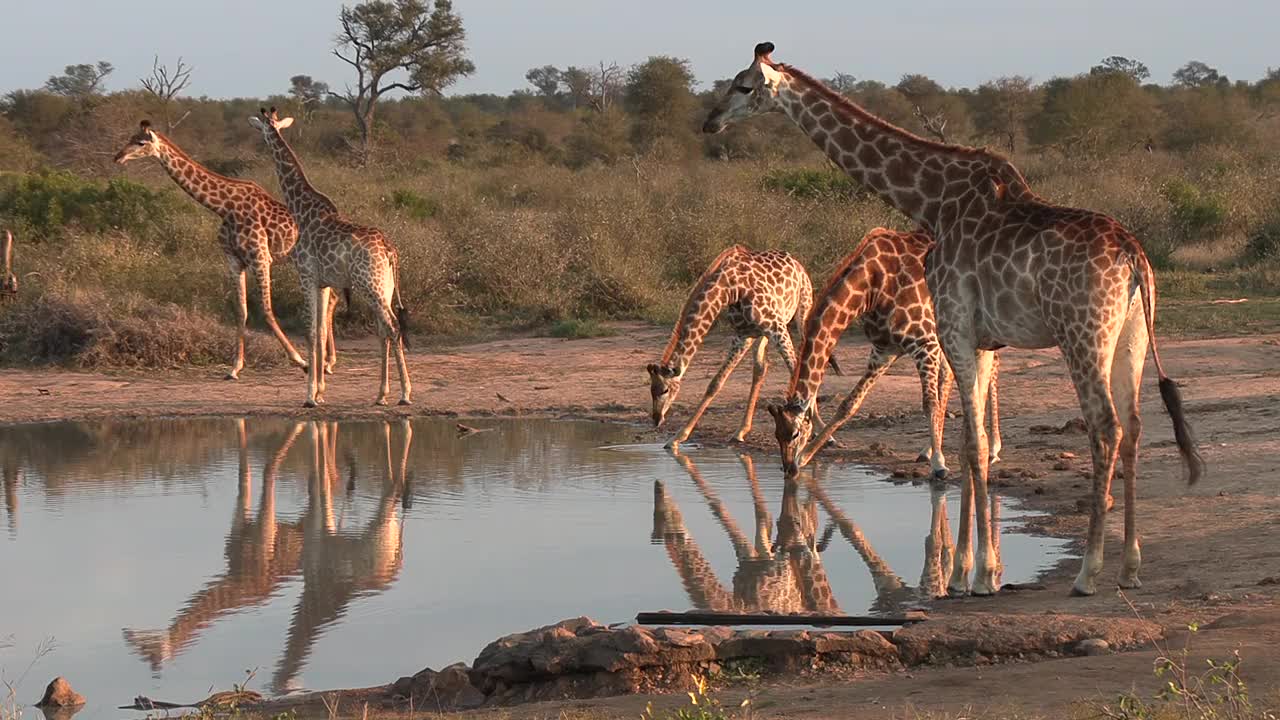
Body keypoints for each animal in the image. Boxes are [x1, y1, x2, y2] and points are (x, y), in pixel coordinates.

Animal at [113, 121, 337, 381]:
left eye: (140, 142)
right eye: (130, 137)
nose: (118, 157)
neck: (224, 207)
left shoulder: (260, 257)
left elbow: (266, 310)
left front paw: (301, 361)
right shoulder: (234, 260)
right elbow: (241, 311)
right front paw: (234, 367)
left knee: (330, 298)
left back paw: (327, 361)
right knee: (332, 297)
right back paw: (329, 361)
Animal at [247, 107, 412, 409]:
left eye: (263, 127)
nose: (260, 138)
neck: (301, 210)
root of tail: (389, 249)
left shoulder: (306, 276)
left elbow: (311, 331)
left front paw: (309, 396)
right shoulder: (323, 282)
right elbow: (322, 330)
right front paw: (320, 391)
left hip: (370, 285)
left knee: (393, 327)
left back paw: (405, 394)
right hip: (384, 287)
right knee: (384, 330)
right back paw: (381, 394)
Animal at [650, 245, 839, 448]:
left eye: (664, 390)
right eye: (651, 390)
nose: (656, 419)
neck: (728, 288)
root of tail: (796, 262)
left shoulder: (776, 327)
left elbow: (795, 369)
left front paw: (824, 434)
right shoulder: (742, 334)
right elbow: (716, 382)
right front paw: (677, 437)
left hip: (802, 310)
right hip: (760, 334)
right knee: (760, 368)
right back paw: (741, 431)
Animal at [768, 226, 998, 476]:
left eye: (795, 434)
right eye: (776, 435)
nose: (788, 469)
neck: (871, 287)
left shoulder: (924, 343)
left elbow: (930, 403)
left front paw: (939, 464)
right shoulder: (884, 350)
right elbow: (849, 404)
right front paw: (806, 457)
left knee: (990, 369)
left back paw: (992, 449)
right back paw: (935, 450)